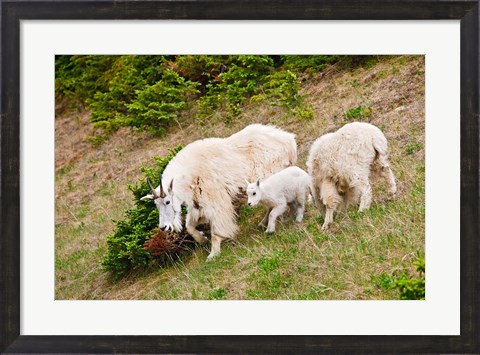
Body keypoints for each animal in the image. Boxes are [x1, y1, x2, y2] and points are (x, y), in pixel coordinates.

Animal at [139, 125, 296, 262]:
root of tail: (289, 141)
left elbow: (216, 231)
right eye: (156, 205)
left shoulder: (215, 202)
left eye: (167, 201)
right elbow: (190, 227)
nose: (164, 227)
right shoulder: (198, 206)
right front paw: (203, 239)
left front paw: (213, 254)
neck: (189, 177)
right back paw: (263, 223)